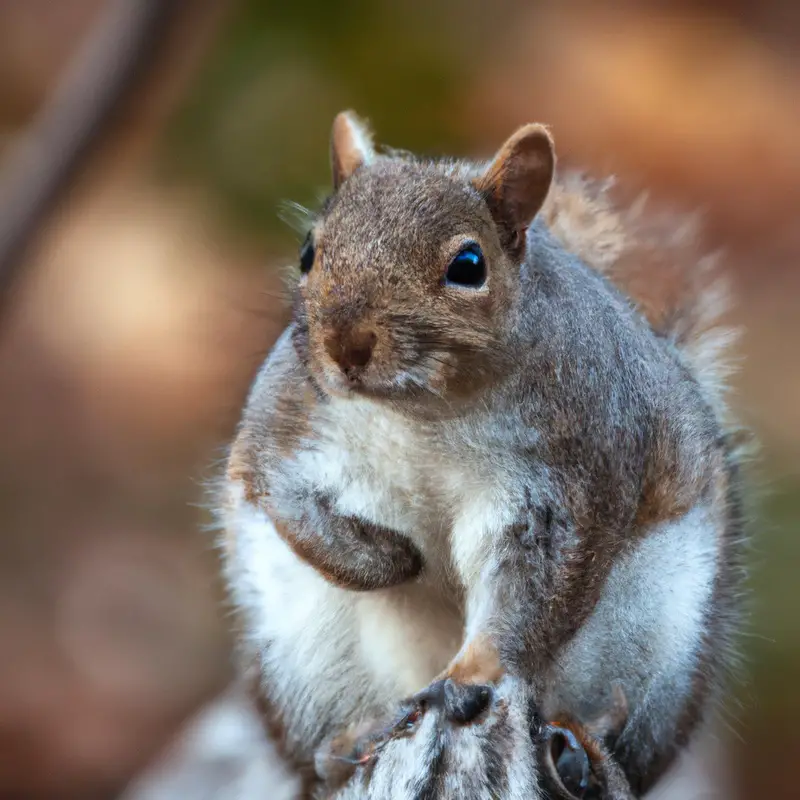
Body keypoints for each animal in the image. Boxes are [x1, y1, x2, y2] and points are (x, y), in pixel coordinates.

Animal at [217, 112, 744, 800]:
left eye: (468, 264)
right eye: (309, 250)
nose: (345, 344)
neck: (426, 414)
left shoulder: (568, 478)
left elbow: (531, 595)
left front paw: (470, 672)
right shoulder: (281, 427)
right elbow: (282, 499)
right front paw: (388, 560)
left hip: (666, 636)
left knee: (627, 737)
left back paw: (586, 748)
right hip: (295, 651)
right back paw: (346, 743)